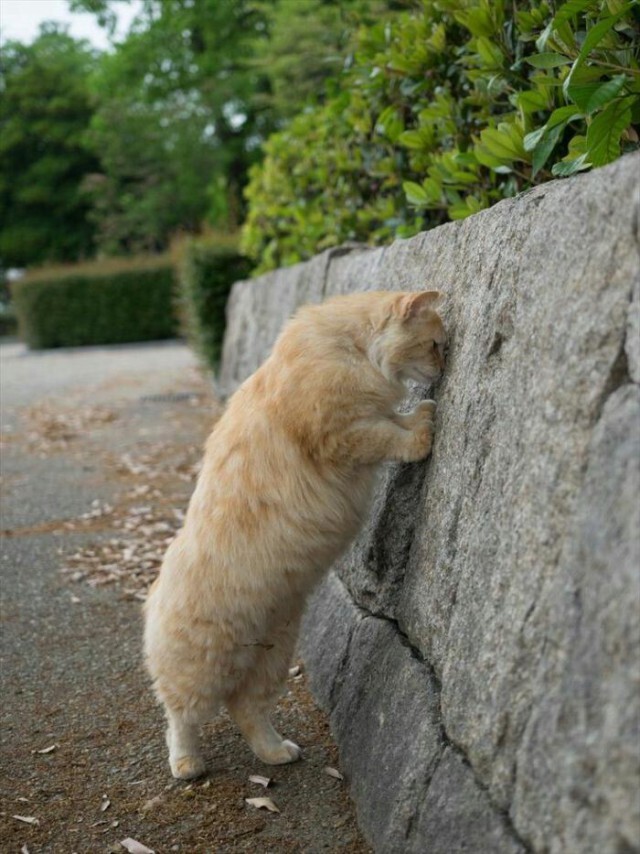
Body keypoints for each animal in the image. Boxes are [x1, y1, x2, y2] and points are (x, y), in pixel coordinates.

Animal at [144, 290, 444, 780]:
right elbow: (393, 435)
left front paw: (419, 413)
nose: (443, 367)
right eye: (435, 344)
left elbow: (393, 419)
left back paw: (276, 752)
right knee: (181, 717)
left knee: (248, 711)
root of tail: (152, 592)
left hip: (272, 655)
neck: (350, 349)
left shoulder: (366, 418)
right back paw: (187, 765)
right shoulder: (345, 434)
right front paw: (422, 426)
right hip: (201, 669)